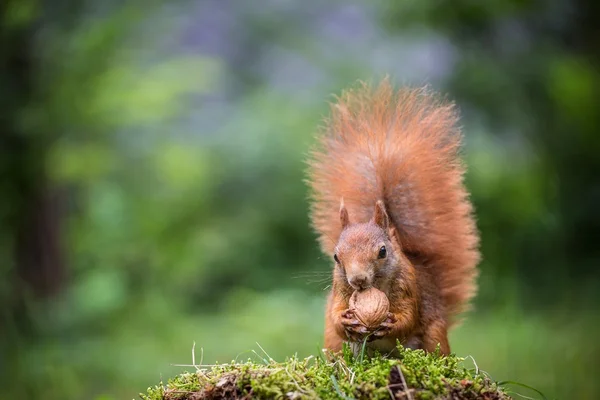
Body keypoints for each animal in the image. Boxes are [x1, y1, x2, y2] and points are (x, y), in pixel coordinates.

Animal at [308, 78, 480, 356]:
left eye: (382, 251)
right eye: (336, 257)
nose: (358, 280)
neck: (375, 286)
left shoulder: (409, 287)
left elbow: (408, 317)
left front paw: (392, 322)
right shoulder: (340, 289)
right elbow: (335, 317)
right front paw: (345, 320)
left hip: (433, 335)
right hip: (333, 344)